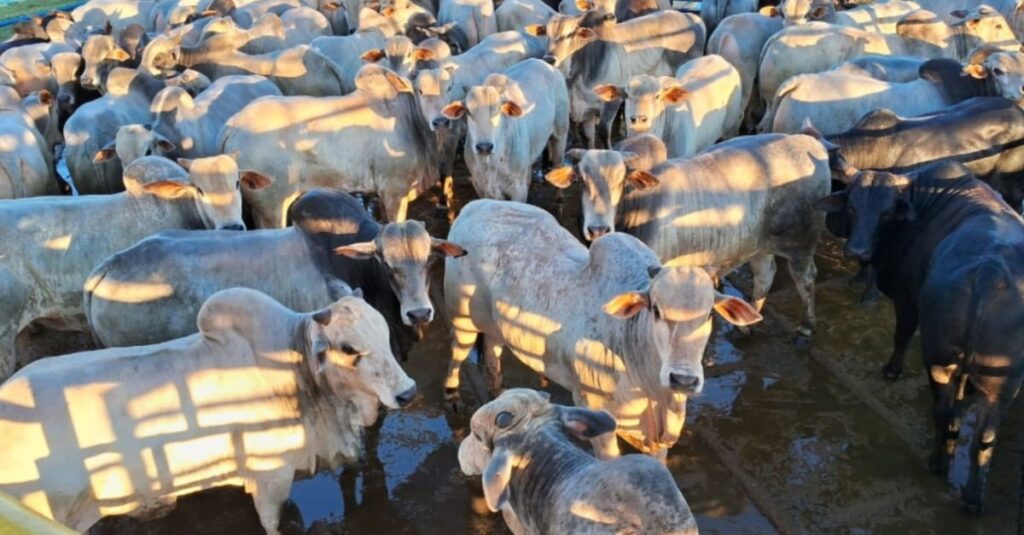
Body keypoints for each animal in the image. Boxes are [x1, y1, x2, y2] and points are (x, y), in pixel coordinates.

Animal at [815, 158, 1024, 512]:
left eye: (887, 212)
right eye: (853, 205)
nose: (857, 251)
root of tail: (989, 272)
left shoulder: (908, 298)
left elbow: (901, 335)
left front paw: (891, 370)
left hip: (940, 357)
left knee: (944, 411)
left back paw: (937, 463)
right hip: (1003, 384)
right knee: (983, 436)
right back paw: (971, 498)